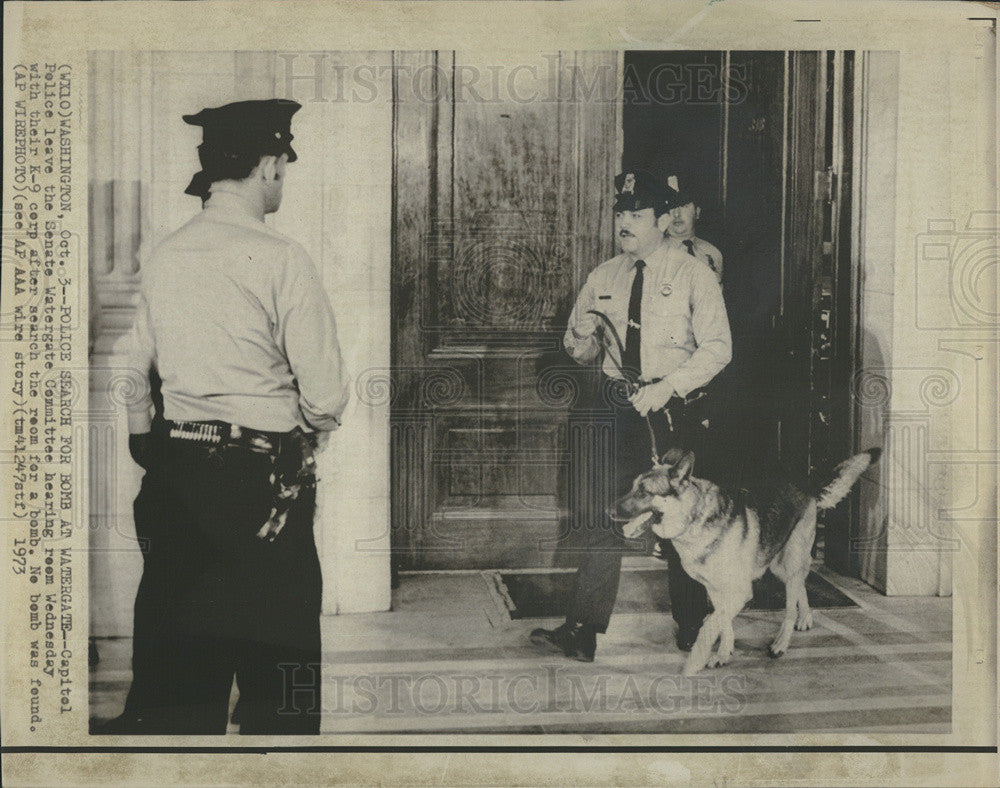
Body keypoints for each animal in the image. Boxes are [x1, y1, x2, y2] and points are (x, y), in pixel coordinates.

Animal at [612, 446, 880, 676]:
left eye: (644, 491)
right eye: (632, 487)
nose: (608, 511)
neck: (695, 518)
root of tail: (805, 483)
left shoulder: (740, 591)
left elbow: (711, 623)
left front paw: (695, 660)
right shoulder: (716, 589)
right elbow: (722, 621)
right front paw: (724, 652)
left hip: (790, 558)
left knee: (790, 605)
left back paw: (782, 642)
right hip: (777, 563)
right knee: (799, 585)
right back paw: (805, 616)